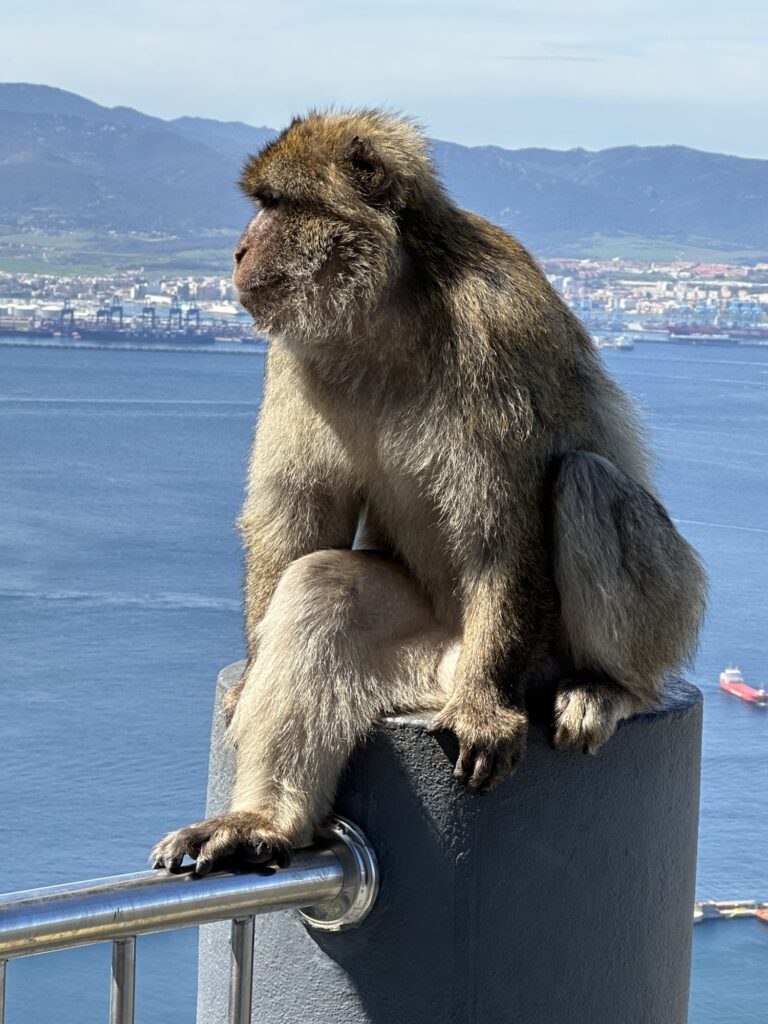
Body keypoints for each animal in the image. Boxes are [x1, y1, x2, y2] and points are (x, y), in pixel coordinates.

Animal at [151, 110, 706, 876]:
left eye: (277, 205)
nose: (237, 250)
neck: (389, 302)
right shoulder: (295, 351)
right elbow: (299, 517)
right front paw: (252, 677)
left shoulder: (498, 330)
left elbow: (504, 528)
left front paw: (486, 711)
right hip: (426, 661)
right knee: (323, 584)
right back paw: (262, 821)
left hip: (593, 637)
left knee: (584, 482)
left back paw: (609, 687)